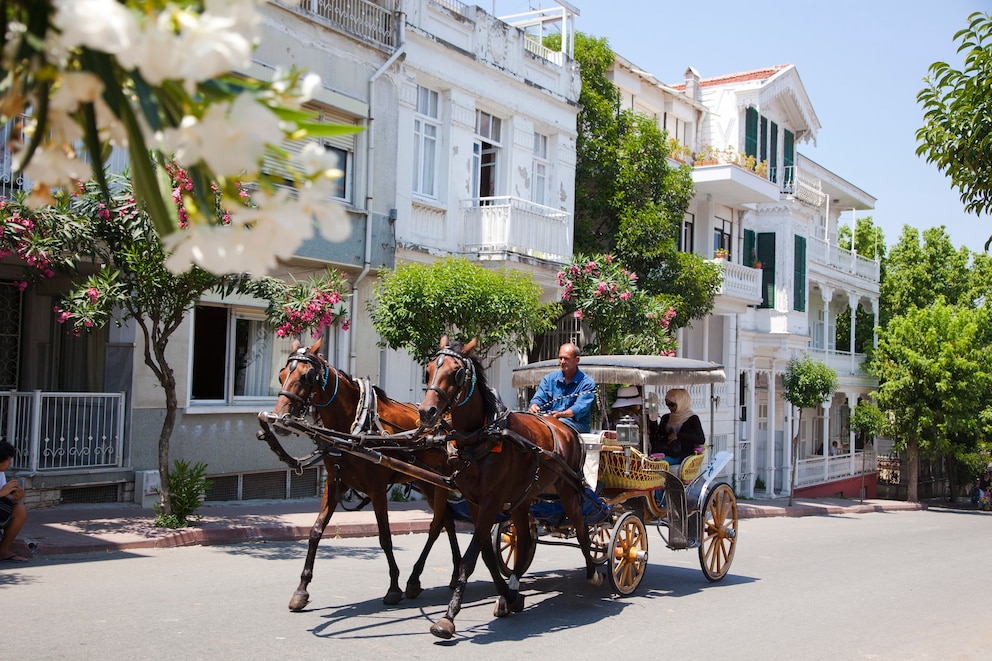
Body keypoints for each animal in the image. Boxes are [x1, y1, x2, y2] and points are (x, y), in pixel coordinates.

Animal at [268, 338, 462, 612]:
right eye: (282, 374)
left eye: (307, 376)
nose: (278, 419)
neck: (355, 428)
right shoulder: (334, 484)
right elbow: (315, 531)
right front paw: (301, 590)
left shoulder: (377, 489)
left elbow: (385, 537)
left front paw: (393, 588)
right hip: (425, 482)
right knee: (447, 521)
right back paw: (453, 574)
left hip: (441, 482)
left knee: (436, 526)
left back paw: (415, 579)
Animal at [414, 338, 600, 636]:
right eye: (429, 368)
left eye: (456, 372)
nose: (426, 412)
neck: (481, 437)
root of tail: (565, 427)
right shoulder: (474, 502)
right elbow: (487, 555)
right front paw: (510, 598)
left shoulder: (491, 501)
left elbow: (470, 558)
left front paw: (448, 617)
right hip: (524, 498)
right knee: (524, 540)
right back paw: (513, 585)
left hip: (569, 490)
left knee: (582, 527)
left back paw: (593, 572)